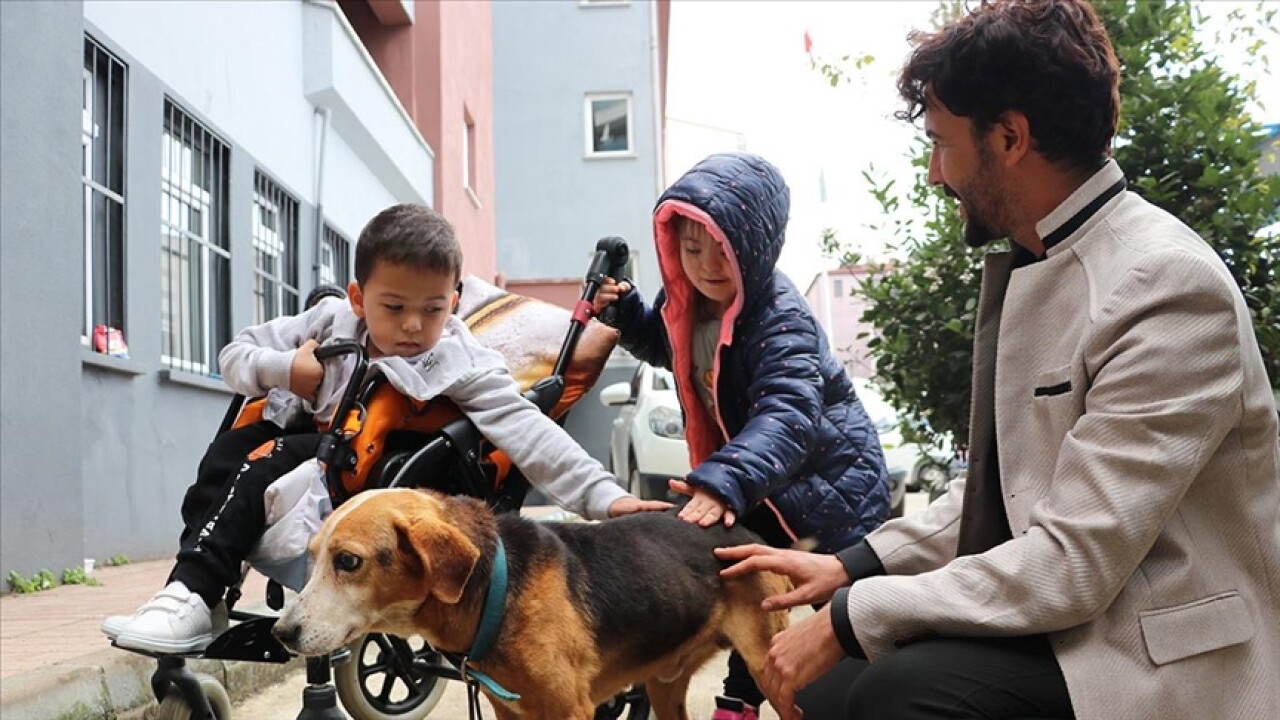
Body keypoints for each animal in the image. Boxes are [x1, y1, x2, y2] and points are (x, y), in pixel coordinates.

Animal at [273, 484, 788, 712]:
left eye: (348, 562)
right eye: (313, 556)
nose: (281, 632)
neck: (495, 593)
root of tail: (746, 532)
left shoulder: (571, 711)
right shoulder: (507, 709)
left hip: (772, 669)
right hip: (664, 685)